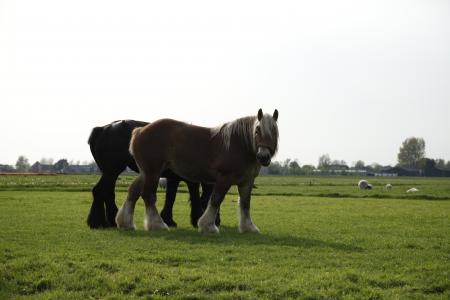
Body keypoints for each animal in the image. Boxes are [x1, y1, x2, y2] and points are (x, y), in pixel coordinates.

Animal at [87, 119, 219, 230]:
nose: (218, 221)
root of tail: (102, 129)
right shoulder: (190, 180)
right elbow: (195, 197)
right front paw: (196, 219)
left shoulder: (173, 179)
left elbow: (171, 197)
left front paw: (168, 219)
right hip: (112, 172)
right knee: (100, 191)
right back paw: (99, 222)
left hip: (110, 173)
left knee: (106, 192)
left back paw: (108, 221)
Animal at [116, 109, 278, 233]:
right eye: (257, 130)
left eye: (275, 131)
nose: (264, 157)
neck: (239, 144)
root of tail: (139, 131)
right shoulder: (224, 178)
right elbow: (216, 200)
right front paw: (208, 226)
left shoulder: (246, 182)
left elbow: (245, 204)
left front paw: (249, 227)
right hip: (153, 172)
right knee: (148, 195)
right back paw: (158, 224)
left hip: (146, 173)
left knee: (133, 192)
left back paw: (126, 223)